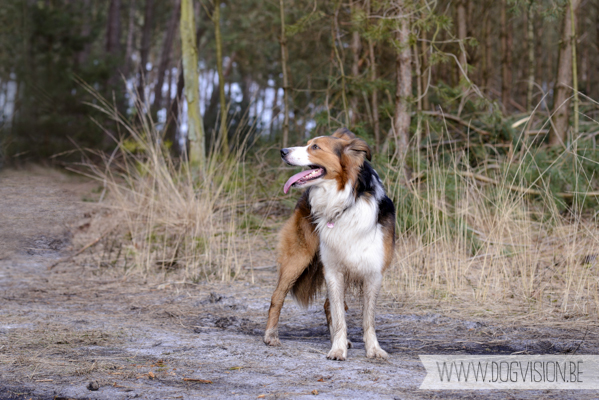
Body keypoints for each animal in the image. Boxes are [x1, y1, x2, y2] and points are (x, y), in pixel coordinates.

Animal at [264, 129, 396, 362]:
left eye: (315, 147)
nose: (283, 151)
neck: (345, 202)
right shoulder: (333, 270)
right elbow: (339, 314)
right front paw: (337, 349)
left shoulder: (373, 272)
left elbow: (367, 318)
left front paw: (372, 349)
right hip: (298, 258)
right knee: (277, 297)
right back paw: (271, 336)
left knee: (328, 305)